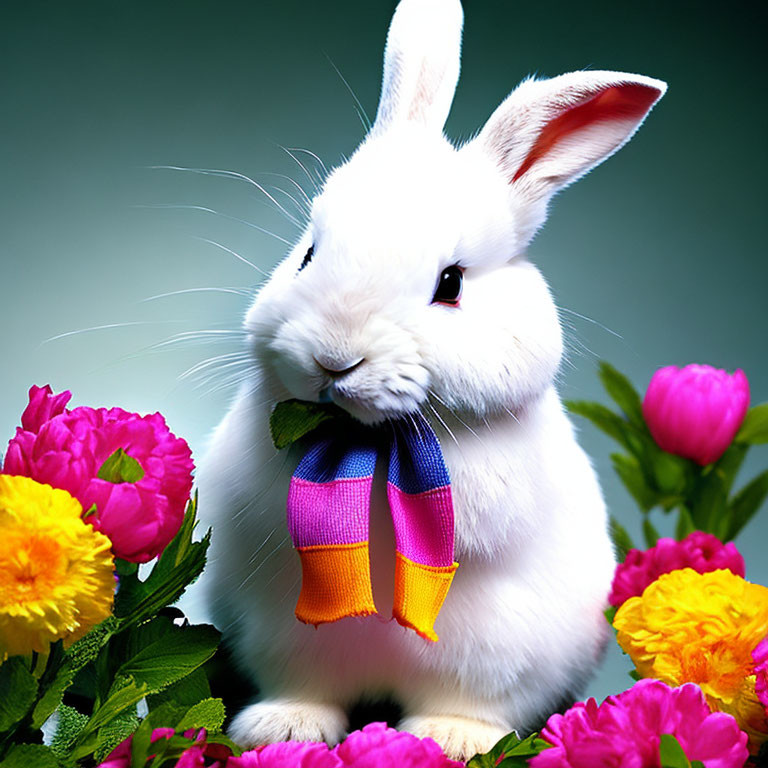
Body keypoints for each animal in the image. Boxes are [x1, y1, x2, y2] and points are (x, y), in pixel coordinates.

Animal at [196, 0, 664, 756]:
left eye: (451, 285)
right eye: (308, 254)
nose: (336, 358)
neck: (371, 439)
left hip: (498, 653)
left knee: (476, 700)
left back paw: (452, 737)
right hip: (285, 637)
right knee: (309, 686)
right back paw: (283, 727)